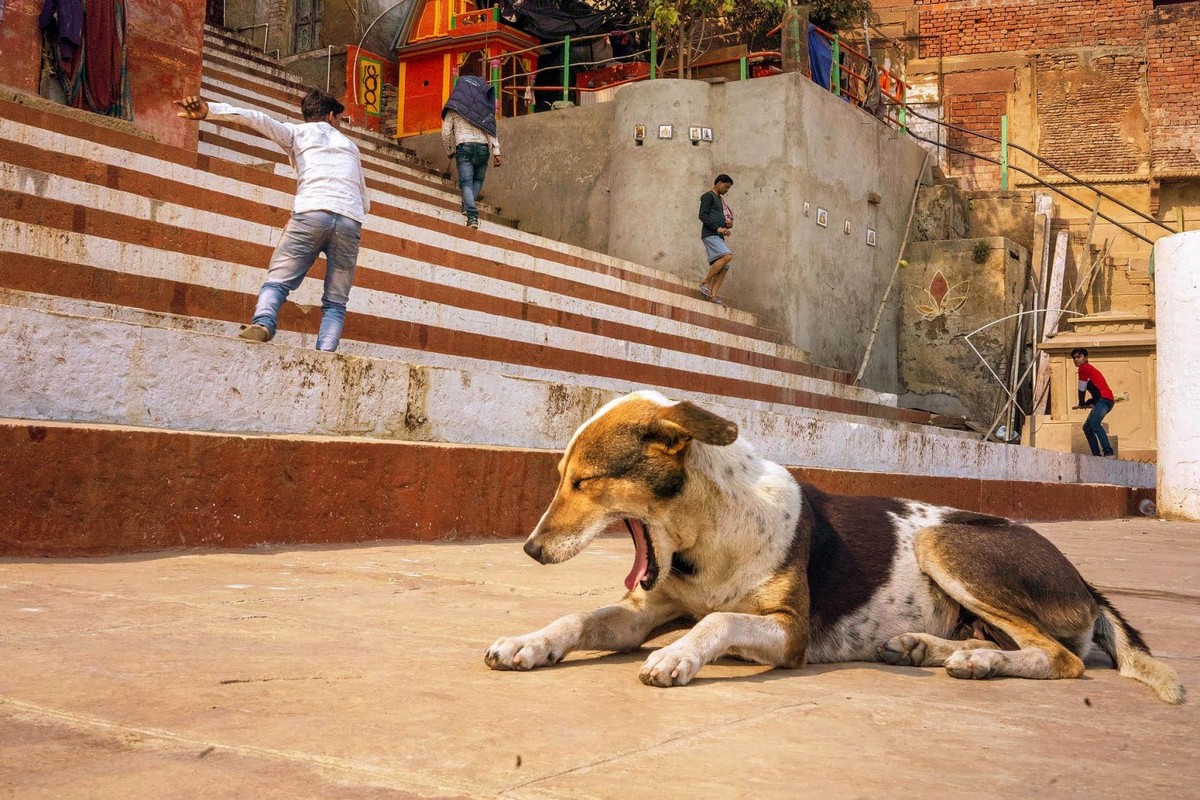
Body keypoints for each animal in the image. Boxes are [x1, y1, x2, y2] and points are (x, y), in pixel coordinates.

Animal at [482, 391, 1185, 705]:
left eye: (584, 481)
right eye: (561, 478)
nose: (531, 550)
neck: (711, 530)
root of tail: (1088, 584)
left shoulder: (789, 631)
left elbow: (718, 619)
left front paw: (678, 655)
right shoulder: (647, 609)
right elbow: (578, 618)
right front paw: (527, 643)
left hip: (942, 540)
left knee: (1059, 658)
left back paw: (978, 662)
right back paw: (931, 648)